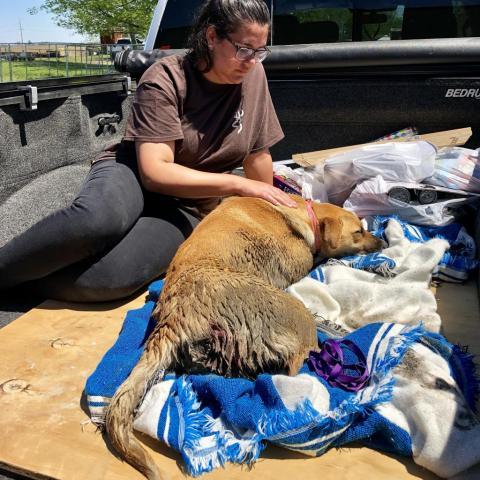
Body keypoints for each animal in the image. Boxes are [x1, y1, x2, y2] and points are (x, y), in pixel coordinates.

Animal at [104, 193, 382, 478]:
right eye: (358, 231)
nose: (383, 241)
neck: (305, 214)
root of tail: (175, 319)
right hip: (295, 313)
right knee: (297, 361)